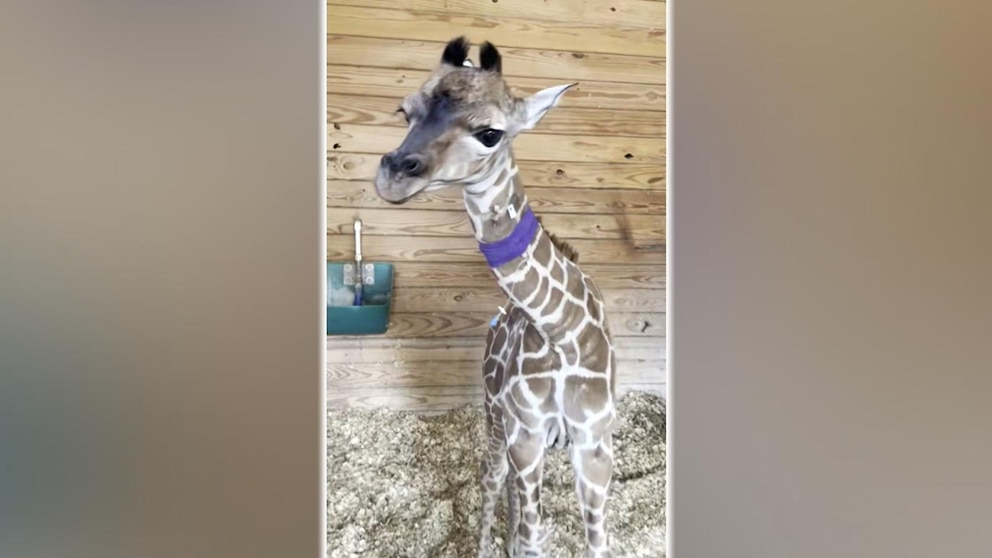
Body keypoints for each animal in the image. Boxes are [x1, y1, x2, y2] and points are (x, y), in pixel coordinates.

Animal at [373, 37, 617, 558]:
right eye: (405, 111)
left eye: (490, 133)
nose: (392, 176)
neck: (560, 330)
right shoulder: (525, 435)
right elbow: (532, 536)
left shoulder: (594, 443)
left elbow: (594, 541)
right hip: (494, 416)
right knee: (492, 478)